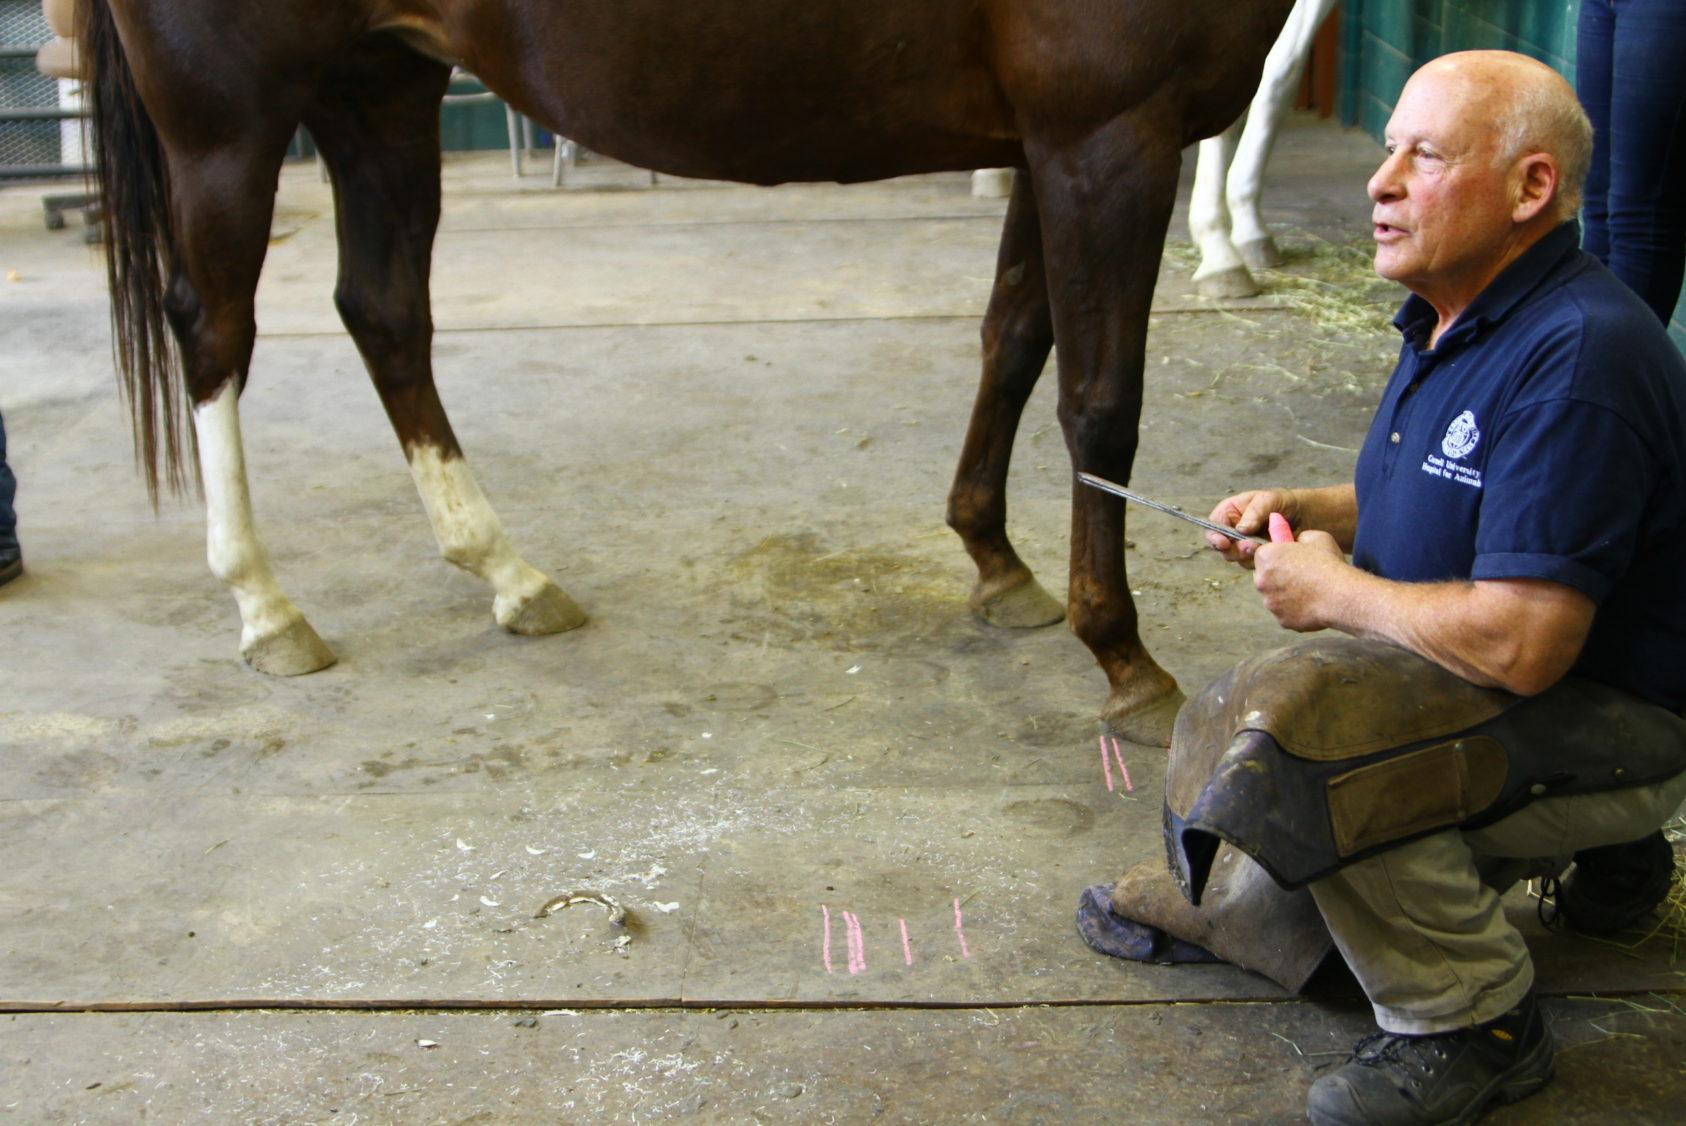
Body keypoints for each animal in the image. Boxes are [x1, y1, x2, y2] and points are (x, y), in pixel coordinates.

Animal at [79, 2, 1288, 748]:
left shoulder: (1047, 141)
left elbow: (1015, 339)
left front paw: (995, 560)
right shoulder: (1107, 131)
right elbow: (1101, 404)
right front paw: (1126, 657)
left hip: (378, 86)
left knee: (383, 313)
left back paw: (508, 572)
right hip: (230, 121)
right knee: (213, 333)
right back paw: (264, 606)